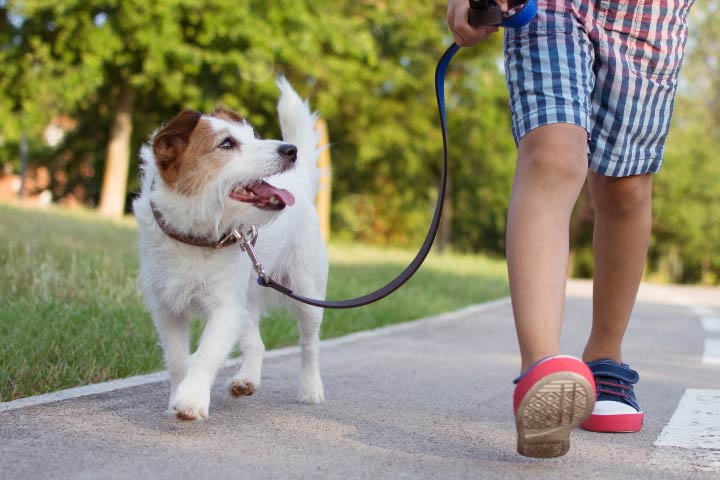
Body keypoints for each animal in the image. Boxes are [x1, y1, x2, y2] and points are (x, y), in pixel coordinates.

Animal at [133, 79, 330, 420]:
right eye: (226, 144)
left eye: (253, 136)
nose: (291, 150)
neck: (197, 238)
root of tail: (300, 186)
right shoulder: (167, 308)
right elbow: (177, 360)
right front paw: (177, 395)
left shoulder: (224, 308)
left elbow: (206, 354)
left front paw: (191, 399)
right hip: (247, 298)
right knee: (256, 342)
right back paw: (246, 379)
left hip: (307, 292)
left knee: (309, 344)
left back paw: (310, 388)